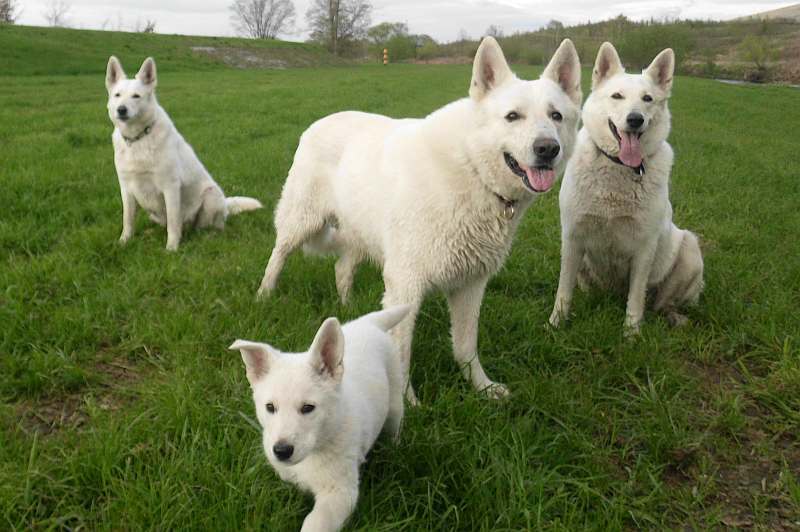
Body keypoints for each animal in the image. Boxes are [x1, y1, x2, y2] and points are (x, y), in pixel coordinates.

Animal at [104, 56, 260, 251]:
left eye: (136, 96)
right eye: (117, 95)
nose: (122, 109)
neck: (138, 138)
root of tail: (225, 203)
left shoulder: (170, 187)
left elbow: (172, 222)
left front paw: (171, 249)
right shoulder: (126, 189)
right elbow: (128, 220)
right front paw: (124, 242)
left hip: (210, 196)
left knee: (207, 226)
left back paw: (206, 235)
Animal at [230, 306, 406, 532]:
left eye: (308, 408)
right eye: (270, 407)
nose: (282, 451)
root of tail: (367, 323)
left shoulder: (339, 492)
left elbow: (315, 522)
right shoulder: (286, 473)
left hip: (394, 397)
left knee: (395, 423)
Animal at [548, 43, 704, 334]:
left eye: (647, 99)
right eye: (617, 96)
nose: (635, 119)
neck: (618, 167)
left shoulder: (644, 247)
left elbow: (636, 298)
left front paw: (631, 333)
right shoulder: (573, 237)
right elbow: (564, 289)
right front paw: (556, 323)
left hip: (689, 248)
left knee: (660, 302)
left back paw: (673, 317)